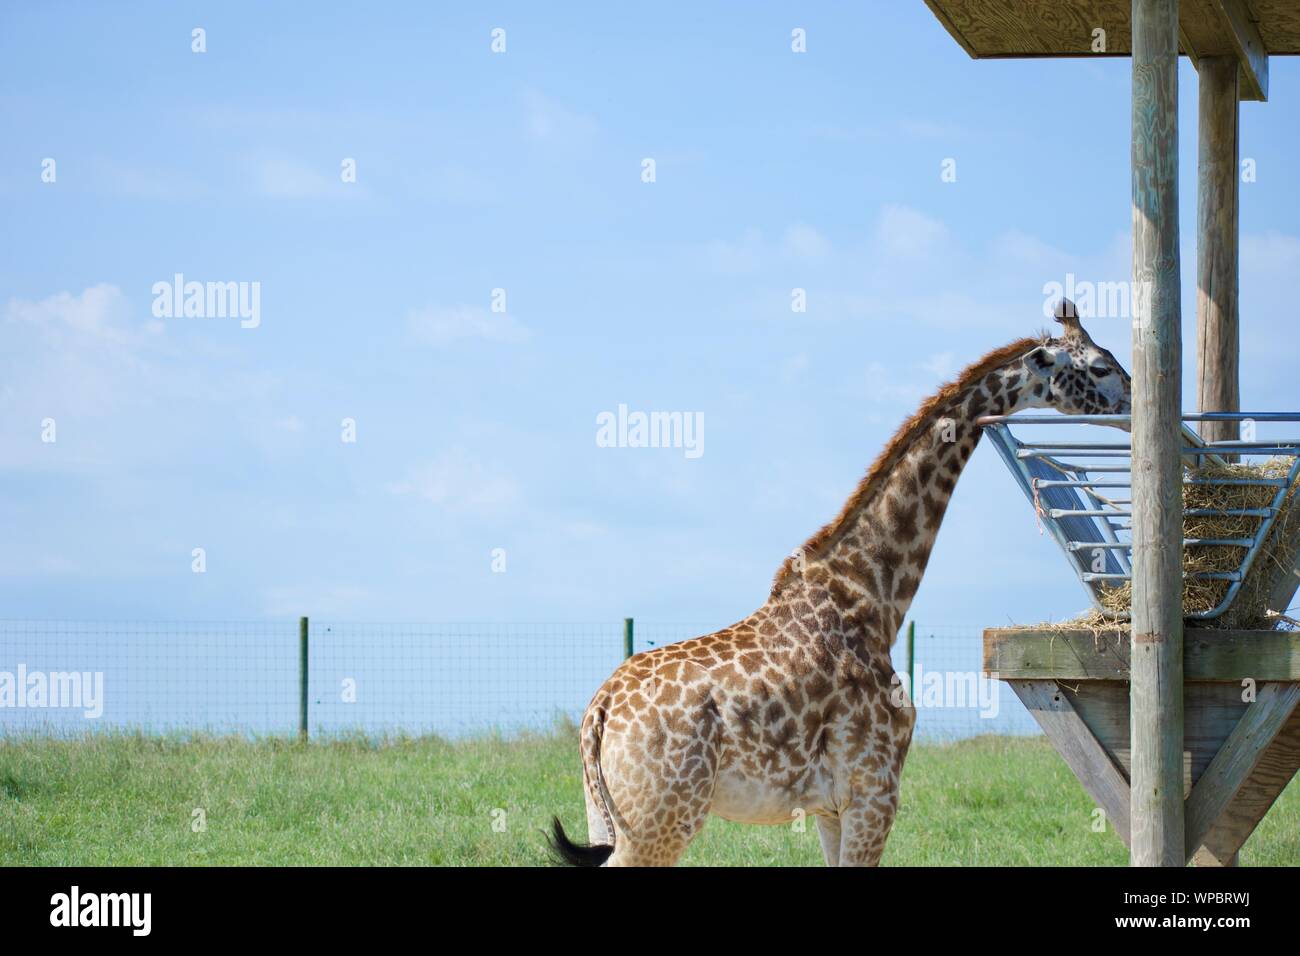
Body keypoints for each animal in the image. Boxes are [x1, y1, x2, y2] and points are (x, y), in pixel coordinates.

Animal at [546, 306, 1128, 868]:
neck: (873, 596)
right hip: (661, 820)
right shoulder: (873, 791)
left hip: (606, 817)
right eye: (1101, 366)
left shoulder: (831, 806)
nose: (1130, 401)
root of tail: (599, 711)